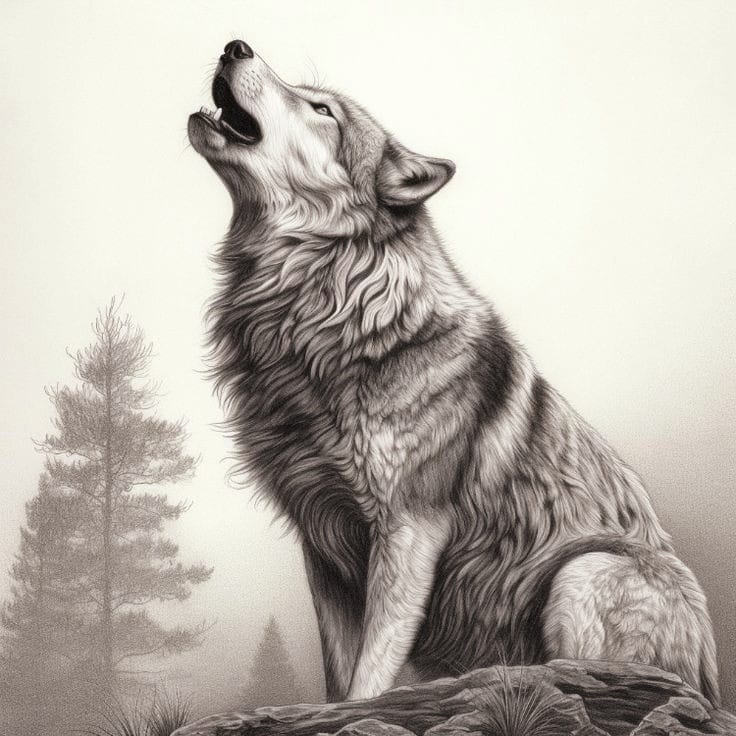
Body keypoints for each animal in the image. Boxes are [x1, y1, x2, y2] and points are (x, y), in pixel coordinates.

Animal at [188, 40, 720, 704]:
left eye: (322, 110)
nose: (235, 45)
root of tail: (711, 681)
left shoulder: (408, 529)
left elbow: (370, 673)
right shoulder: (322, 543)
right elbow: (339, 672)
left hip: (583, 568)